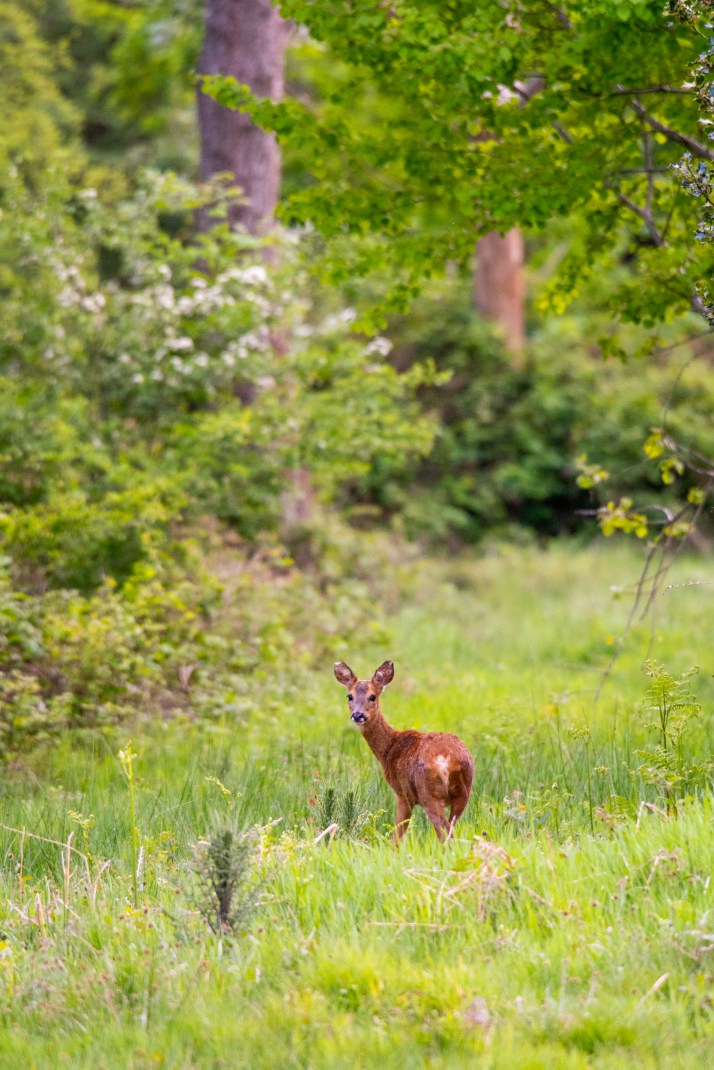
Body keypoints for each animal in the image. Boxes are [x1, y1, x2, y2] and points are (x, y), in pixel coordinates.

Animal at [334, 659, 474, 844]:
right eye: (349, 696)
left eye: (373, 696)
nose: (358, 715)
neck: (389, 748)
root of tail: (448, 759)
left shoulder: (403, 794)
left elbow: (396, 837)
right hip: (464, 792)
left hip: (428, 792)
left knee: (443, 833)